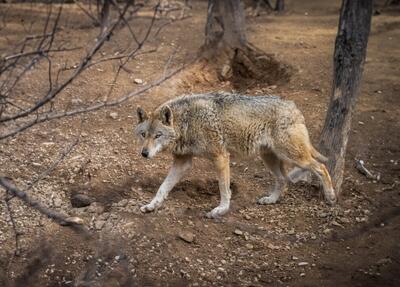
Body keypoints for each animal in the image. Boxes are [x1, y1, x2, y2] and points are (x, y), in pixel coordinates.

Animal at [134, 93, 338, 219]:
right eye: (143, 135)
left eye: (158, 135)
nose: (144, 153)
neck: (188, 122)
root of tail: (294, 106)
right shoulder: (182, 163)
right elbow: (162, 188)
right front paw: (152, 206)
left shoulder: (221, 157)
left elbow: (224, 189)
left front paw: (221, 210)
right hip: (269, 158)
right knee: (283, 180)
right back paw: (271, 199)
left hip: (294, 157)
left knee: (321, 167)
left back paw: (331, 196)